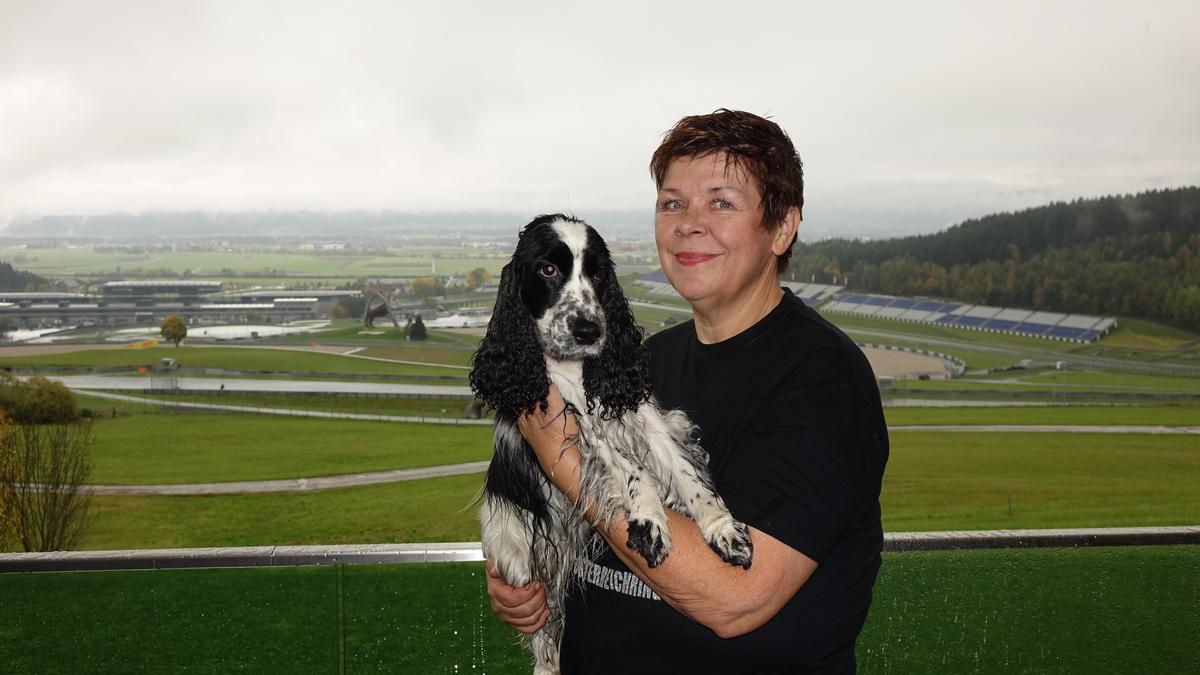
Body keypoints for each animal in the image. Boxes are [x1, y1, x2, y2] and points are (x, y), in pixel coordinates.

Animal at [468, 212, 748, 667]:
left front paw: (721, 528)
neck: (576, 367)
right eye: (547, 269)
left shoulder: (641, 413)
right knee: (545, 639)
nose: (588, 330)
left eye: (598, 273)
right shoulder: (580, 422)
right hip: (518, 558)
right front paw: (650, 521)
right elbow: (632, 468)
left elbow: (684, 470)